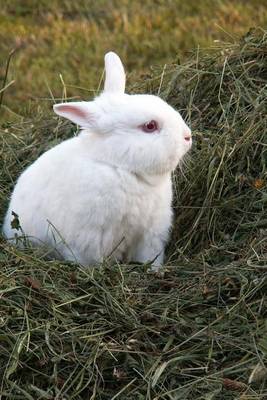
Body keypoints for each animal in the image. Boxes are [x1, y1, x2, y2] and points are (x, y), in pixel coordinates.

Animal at [2, 50, 193, 268]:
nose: (188, 137)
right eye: (150, 126)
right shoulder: (90, 238)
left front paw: (154, 270)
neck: (122, 168)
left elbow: (150, 257)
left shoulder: (150, 234)